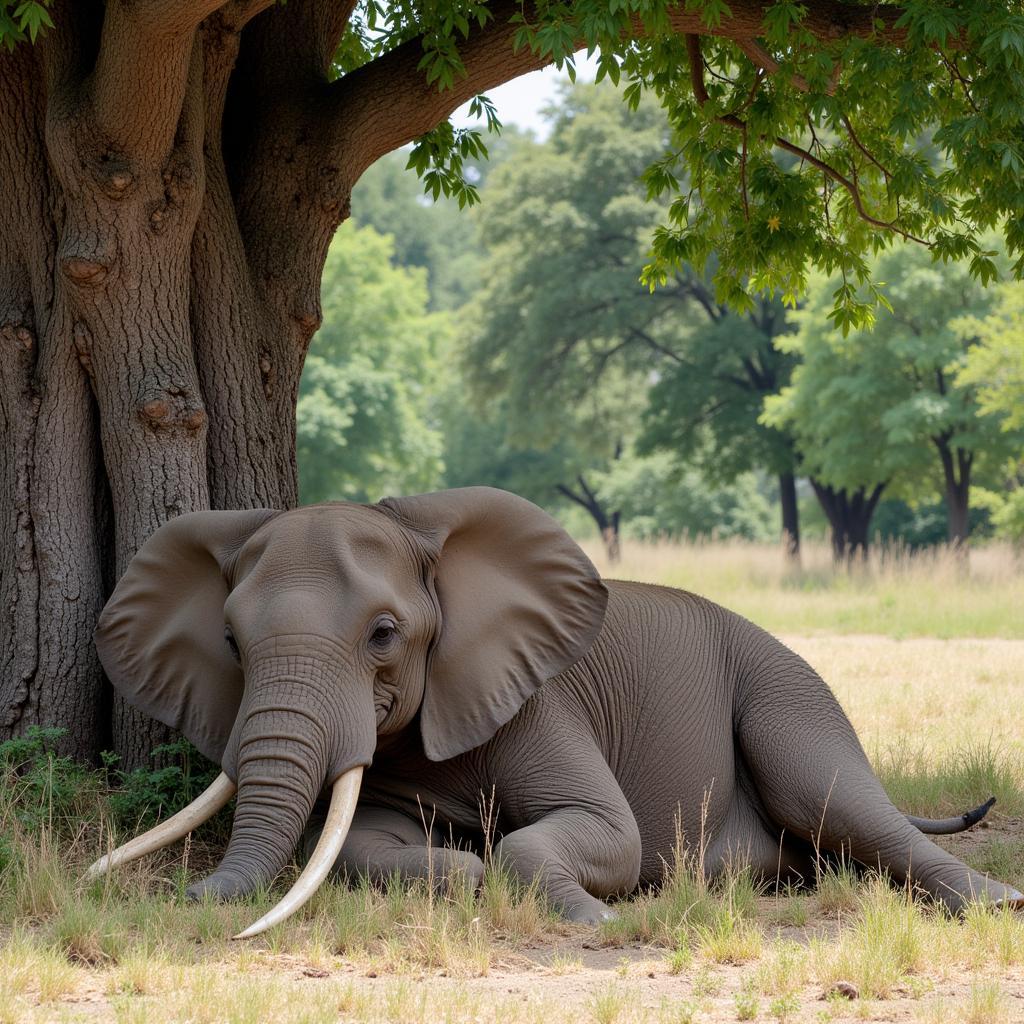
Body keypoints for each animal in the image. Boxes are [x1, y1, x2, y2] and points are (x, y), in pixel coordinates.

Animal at [90, 487, 1024, 937]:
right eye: (230, 642)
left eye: (384, 635)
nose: (194, 898)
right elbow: (358, 847)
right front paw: (458, 864)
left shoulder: (539, 700)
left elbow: (606, 835)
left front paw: (593, 912)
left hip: (786, 688)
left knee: (839, 803)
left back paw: (996, 904)